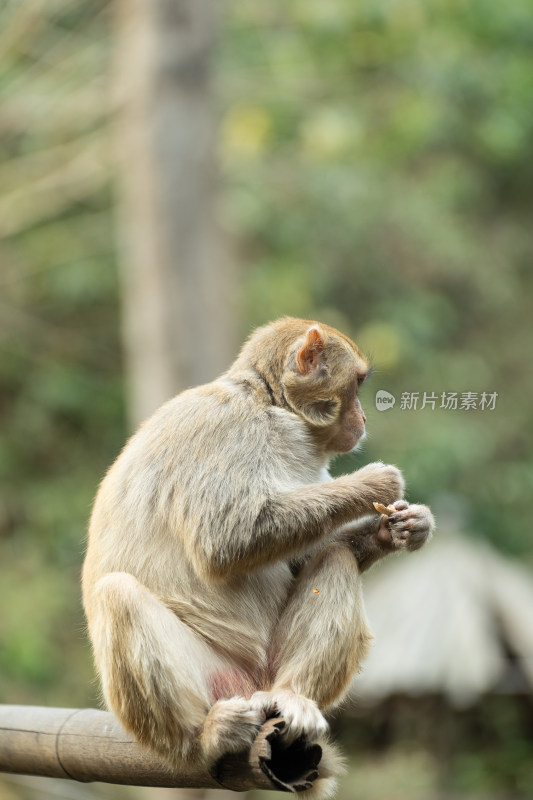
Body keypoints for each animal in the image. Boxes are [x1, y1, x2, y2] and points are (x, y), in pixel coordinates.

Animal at [82, 318, 432, 800]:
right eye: (357, 384)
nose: (363, 419)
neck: (267, 406)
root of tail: (252, 685)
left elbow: (305, 556)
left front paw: (399, 529)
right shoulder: (225, 430)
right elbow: (224, 541)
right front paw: (372, 485)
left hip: (265, 673)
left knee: (336, 558)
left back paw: (294, 695)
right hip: (211, 686)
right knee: (116, 594)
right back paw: (203, 738)